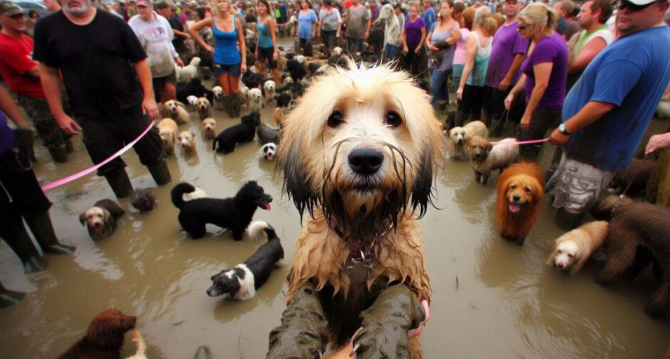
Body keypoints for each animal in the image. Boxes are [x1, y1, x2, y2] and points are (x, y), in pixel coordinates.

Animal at [270, 60, 444, 358]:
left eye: (393, 117)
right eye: (334, 117)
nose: (365, 159)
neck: (361, 237)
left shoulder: (410, 276)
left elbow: (397, 296)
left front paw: (383, 340)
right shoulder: (312, 267)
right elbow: (303, 304)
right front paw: (289, 344)